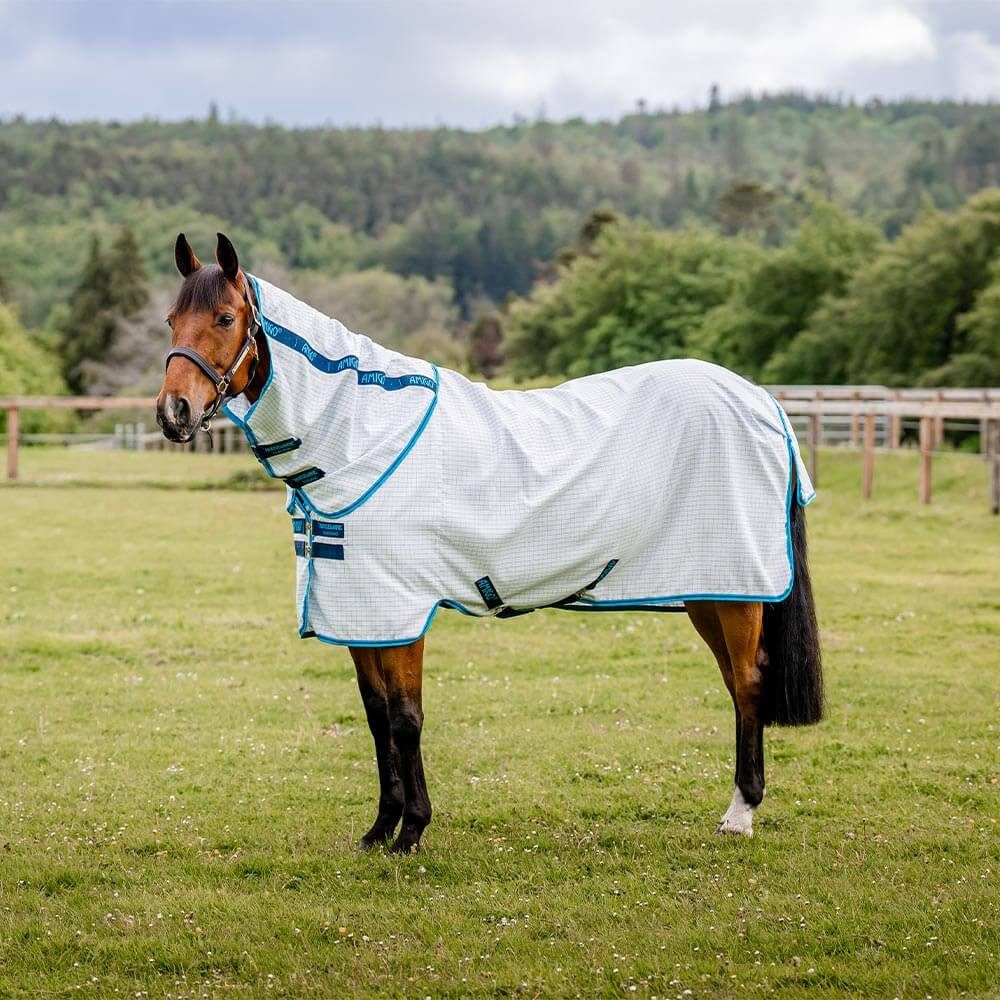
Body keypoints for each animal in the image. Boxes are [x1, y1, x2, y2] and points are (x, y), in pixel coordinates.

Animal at [156, 232, 823, 853]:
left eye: (225, 318)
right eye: (170, 319)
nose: (173, 412)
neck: (360, 435)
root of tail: (762, 401)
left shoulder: (402, 613)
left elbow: (406, 719)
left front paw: (412, 831)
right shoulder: (361, 610)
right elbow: (376, 718)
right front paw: (379, 830)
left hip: (737, 590)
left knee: (748, 683)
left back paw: (741, 812)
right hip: (706, 589)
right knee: (737, 684)